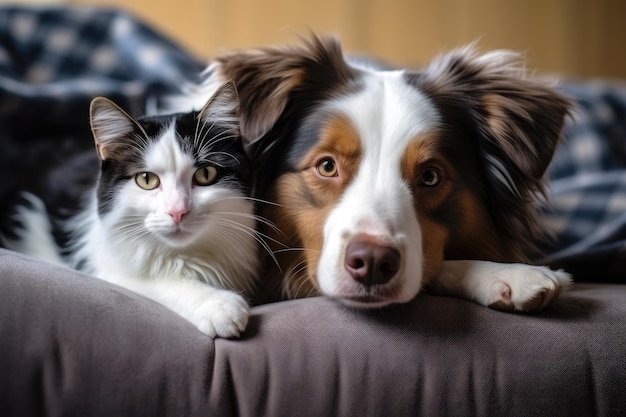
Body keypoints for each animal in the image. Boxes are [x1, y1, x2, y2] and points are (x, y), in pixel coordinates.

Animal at [4, 82, 258, 338]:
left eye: (205, 174)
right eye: (146, 179)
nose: (177, 211)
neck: (184, 253)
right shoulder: (105, 268)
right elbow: (152, 279)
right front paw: (217, 304)